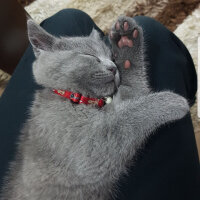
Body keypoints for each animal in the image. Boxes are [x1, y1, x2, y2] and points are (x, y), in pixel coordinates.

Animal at [0, 16, 189, 199]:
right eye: (89, 55)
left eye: (112, 57)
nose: (113, 67)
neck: (76, 98)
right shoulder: (88, 151)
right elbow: (126, 118)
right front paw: (171, 101)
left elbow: (134, 91)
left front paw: (126, 42)